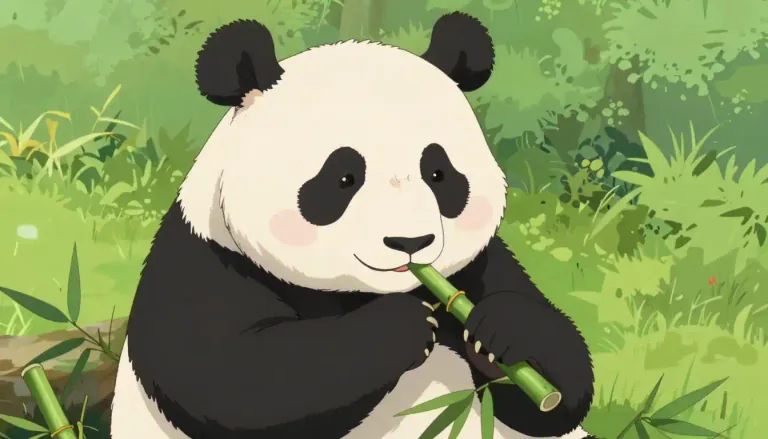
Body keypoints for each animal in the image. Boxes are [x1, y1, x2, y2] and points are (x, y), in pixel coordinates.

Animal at [110, 11, 599, 439]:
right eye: (343, 178)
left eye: (438, 173)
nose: (410, 241)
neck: (366, 291)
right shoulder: (204, 262)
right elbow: (234, 380)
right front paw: (400, 328)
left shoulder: (475, 268)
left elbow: (550, 405)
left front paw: (507, 332)